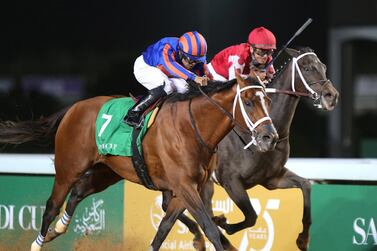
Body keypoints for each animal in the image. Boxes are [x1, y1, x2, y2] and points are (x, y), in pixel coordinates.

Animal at [0, 72, 276, 251]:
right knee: (51, 206)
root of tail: (73, 108)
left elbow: (164, 229)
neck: (192, 128)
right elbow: (209, 229)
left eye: (268, 101)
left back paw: (58, 230)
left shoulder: (186, 189)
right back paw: (39, 242)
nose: (269, 137)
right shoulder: (185, 187)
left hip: (107, 171)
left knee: (78, 193)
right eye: (248, 102)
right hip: (68, 168)